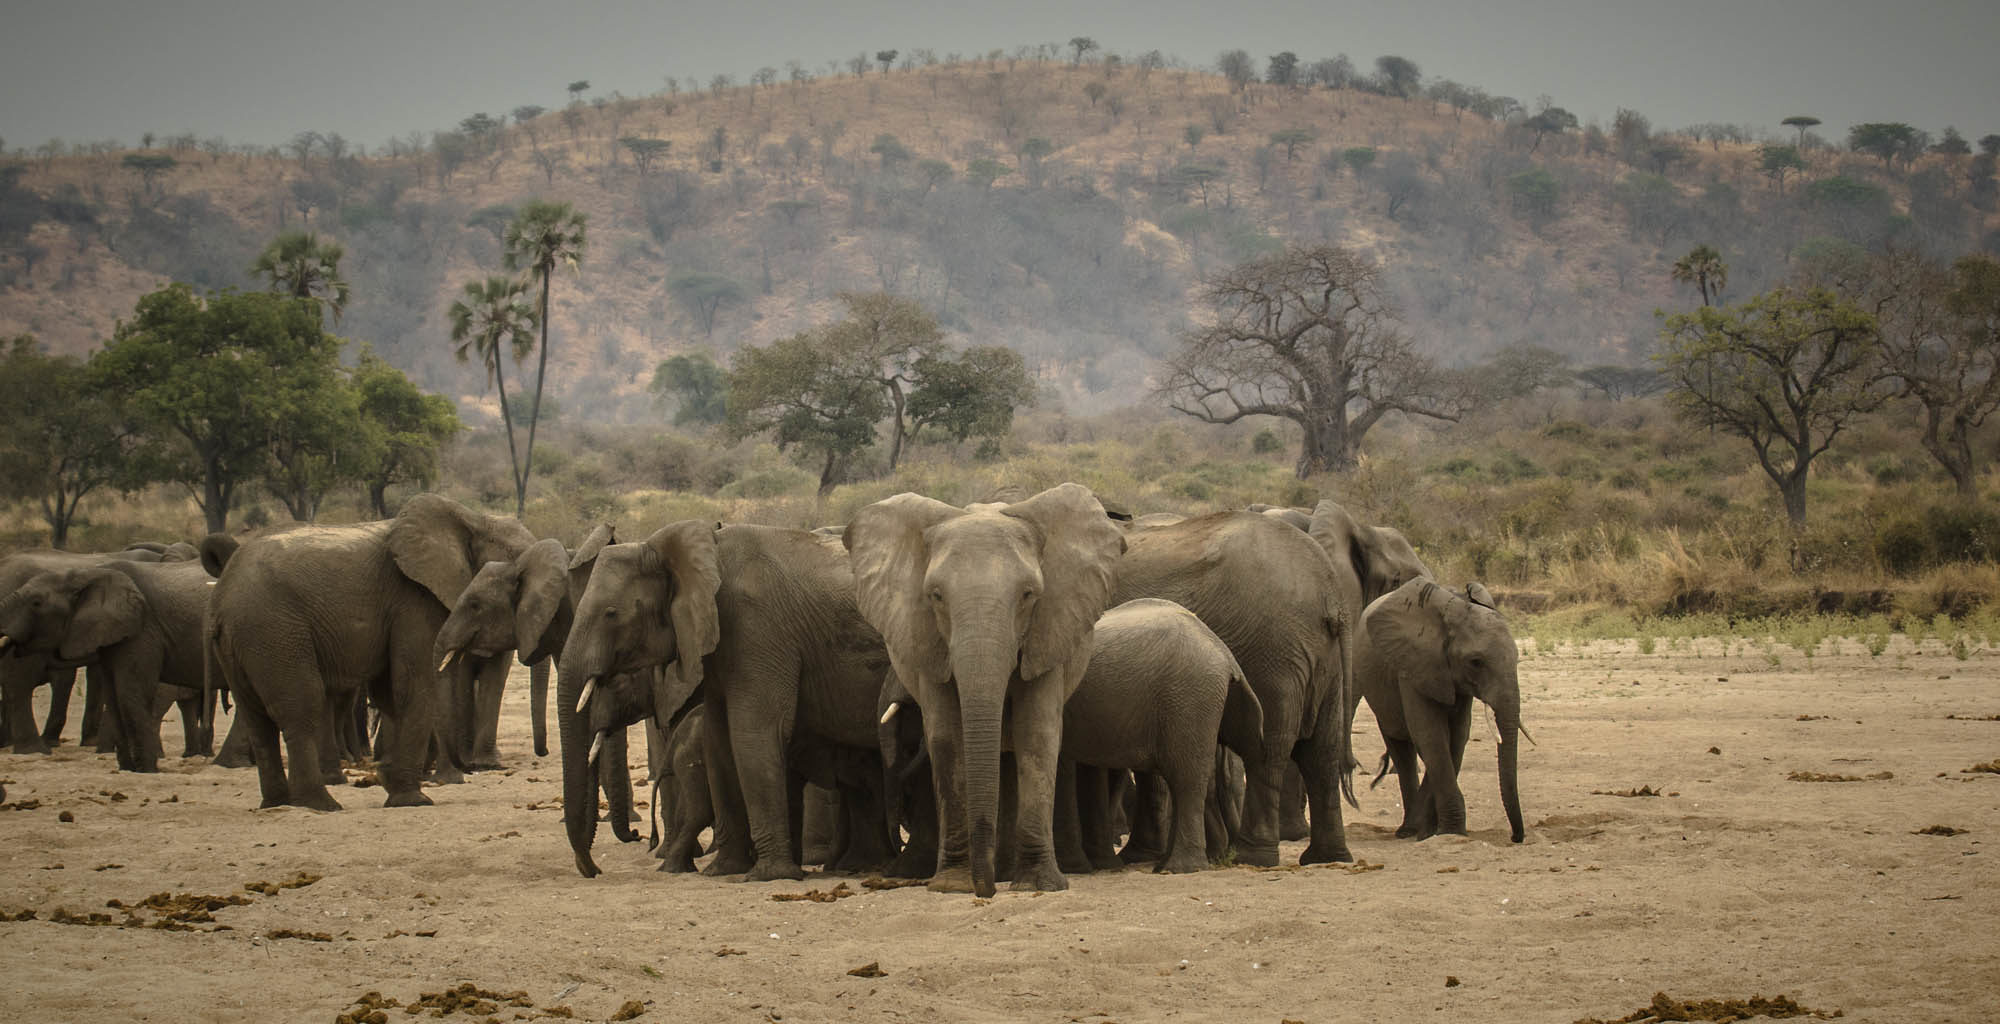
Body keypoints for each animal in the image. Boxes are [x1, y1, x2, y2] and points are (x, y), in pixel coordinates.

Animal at [205, 492, 532, 812]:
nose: (469, 770)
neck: (475, 520)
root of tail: (222, 597)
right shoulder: (413, 598)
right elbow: (412, 683)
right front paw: (413, 800)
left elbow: (391, 692)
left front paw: (392, 784)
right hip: (274, 631)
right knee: (301, 706)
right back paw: (321, 804)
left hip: (242, 641)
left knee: (256, 717)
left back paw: (277, 803)